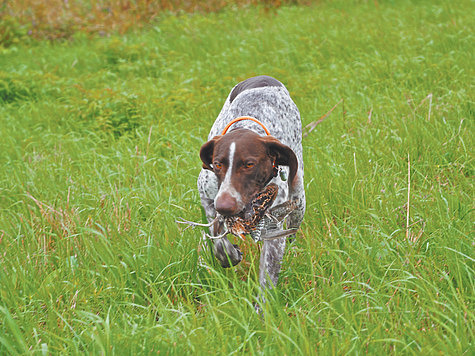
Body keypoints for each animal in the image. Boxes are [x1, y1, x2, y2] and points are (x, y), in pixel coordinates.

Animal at [196, 75, 304, 290]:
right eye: (217, 164)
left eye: (249, 164)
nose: (225, 206)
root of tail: (265, 78)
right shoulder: (207, 197)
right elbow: (217, 236)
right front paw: (229, 255)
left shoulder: (275, 226)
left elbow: (267, 278)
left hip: (299, 198)